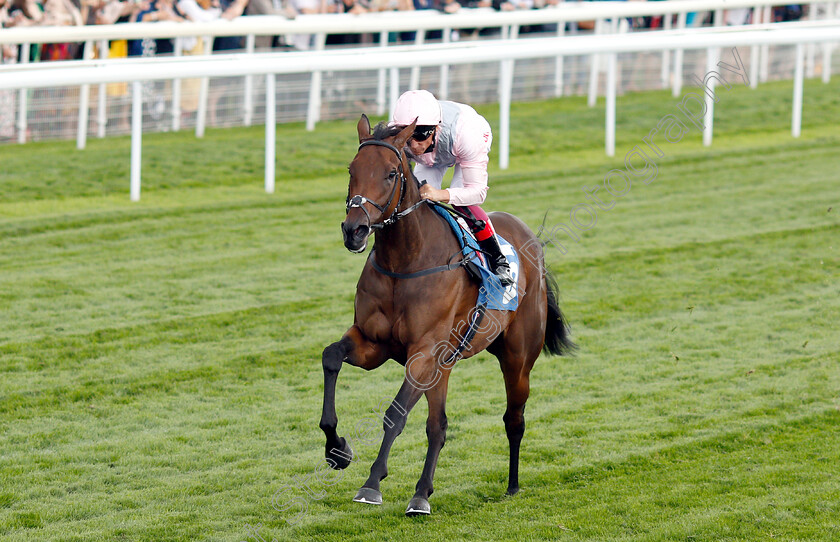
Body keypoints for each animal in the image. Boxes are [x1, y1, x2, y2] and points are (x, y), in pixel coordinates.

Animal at [318, 116, 576, 520]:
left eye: (391, 173)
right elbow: (331, 356)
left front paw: (371, 484)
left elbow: (394, 413)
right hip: (443, 365)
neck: (405, 261)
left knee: (513, 419)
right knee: (438, 426)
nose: (354, 230)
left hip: (516, 359)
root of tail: (531, 239)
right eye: (351, 170)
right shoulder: (374, 344)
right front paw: (336, 449)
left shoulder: (423, 352)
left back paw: (512, 486)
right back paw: (421, 494)